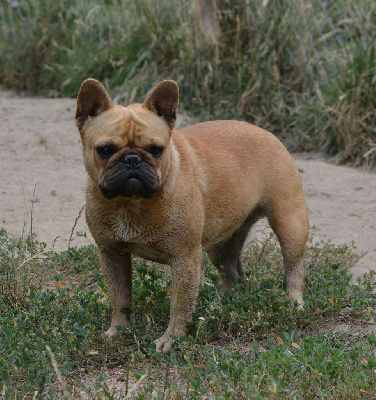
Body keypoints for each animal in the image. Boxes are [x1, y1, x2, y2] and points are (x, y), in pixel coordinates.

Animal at [75, 79, 308, 354]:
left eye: (156, 150)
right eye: (105, 150)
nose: (132, 160)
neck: (130, 203)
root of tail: (265, 132)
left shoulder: (184, 258)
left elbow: (179, 304)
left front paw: (172, 339)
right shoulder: (112, 253)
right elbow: (119, 296)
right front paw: (118, 330)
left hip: (289, 222)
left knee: (293, 267)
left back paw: (295, 304)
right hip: (221, 244)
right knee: (232, 272)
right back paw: (225, 305)